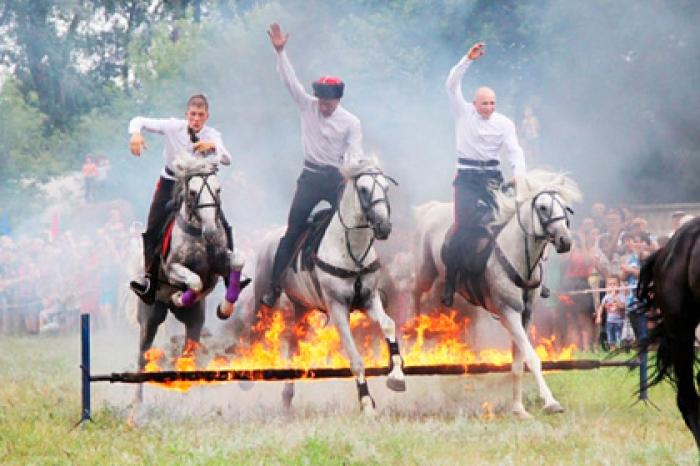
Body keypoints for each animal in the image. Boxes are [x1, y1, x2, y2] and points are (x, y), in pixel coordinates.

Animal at [133, 155, 245, 402]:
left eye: (218, 190)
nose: (211, 232)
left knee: (188, 354)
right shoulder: (172, 267)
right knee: (143, 358)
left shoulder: (221, 263)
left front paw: (225, 308)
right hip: (150, 318)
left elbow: (237, 263)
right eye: (193, 192)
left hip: (194, 323)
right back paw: (137, 404)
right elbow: (194, 280)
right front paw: (178, 296)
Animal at [227, 157, 408, 416]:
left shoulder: (369, 299)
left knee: (293, 347)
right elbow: (356, 359)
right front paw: (366, 403)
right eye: (363, 189)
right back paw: (247, 378)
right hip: (264, 299)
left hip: (301, 308)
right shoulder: (338, 308)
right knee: (255, 331)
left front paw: (396, 377)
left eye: (386, 187)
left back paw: (287, 396)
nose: (384, 227)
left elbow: (389, 325)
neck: (351, 251)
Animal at [412, 169, 584, 416]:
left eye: (565, 206)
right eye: (542, 207)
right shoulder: (508, 313)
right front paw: (551, 402)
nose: (565, 241)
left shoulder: (524, 316)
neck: (518, 258)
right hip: (424, 272)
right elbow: (532, 358)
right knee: (414, 292)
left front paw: (518, 409)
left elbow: (517, 363)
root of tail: (433, 208)